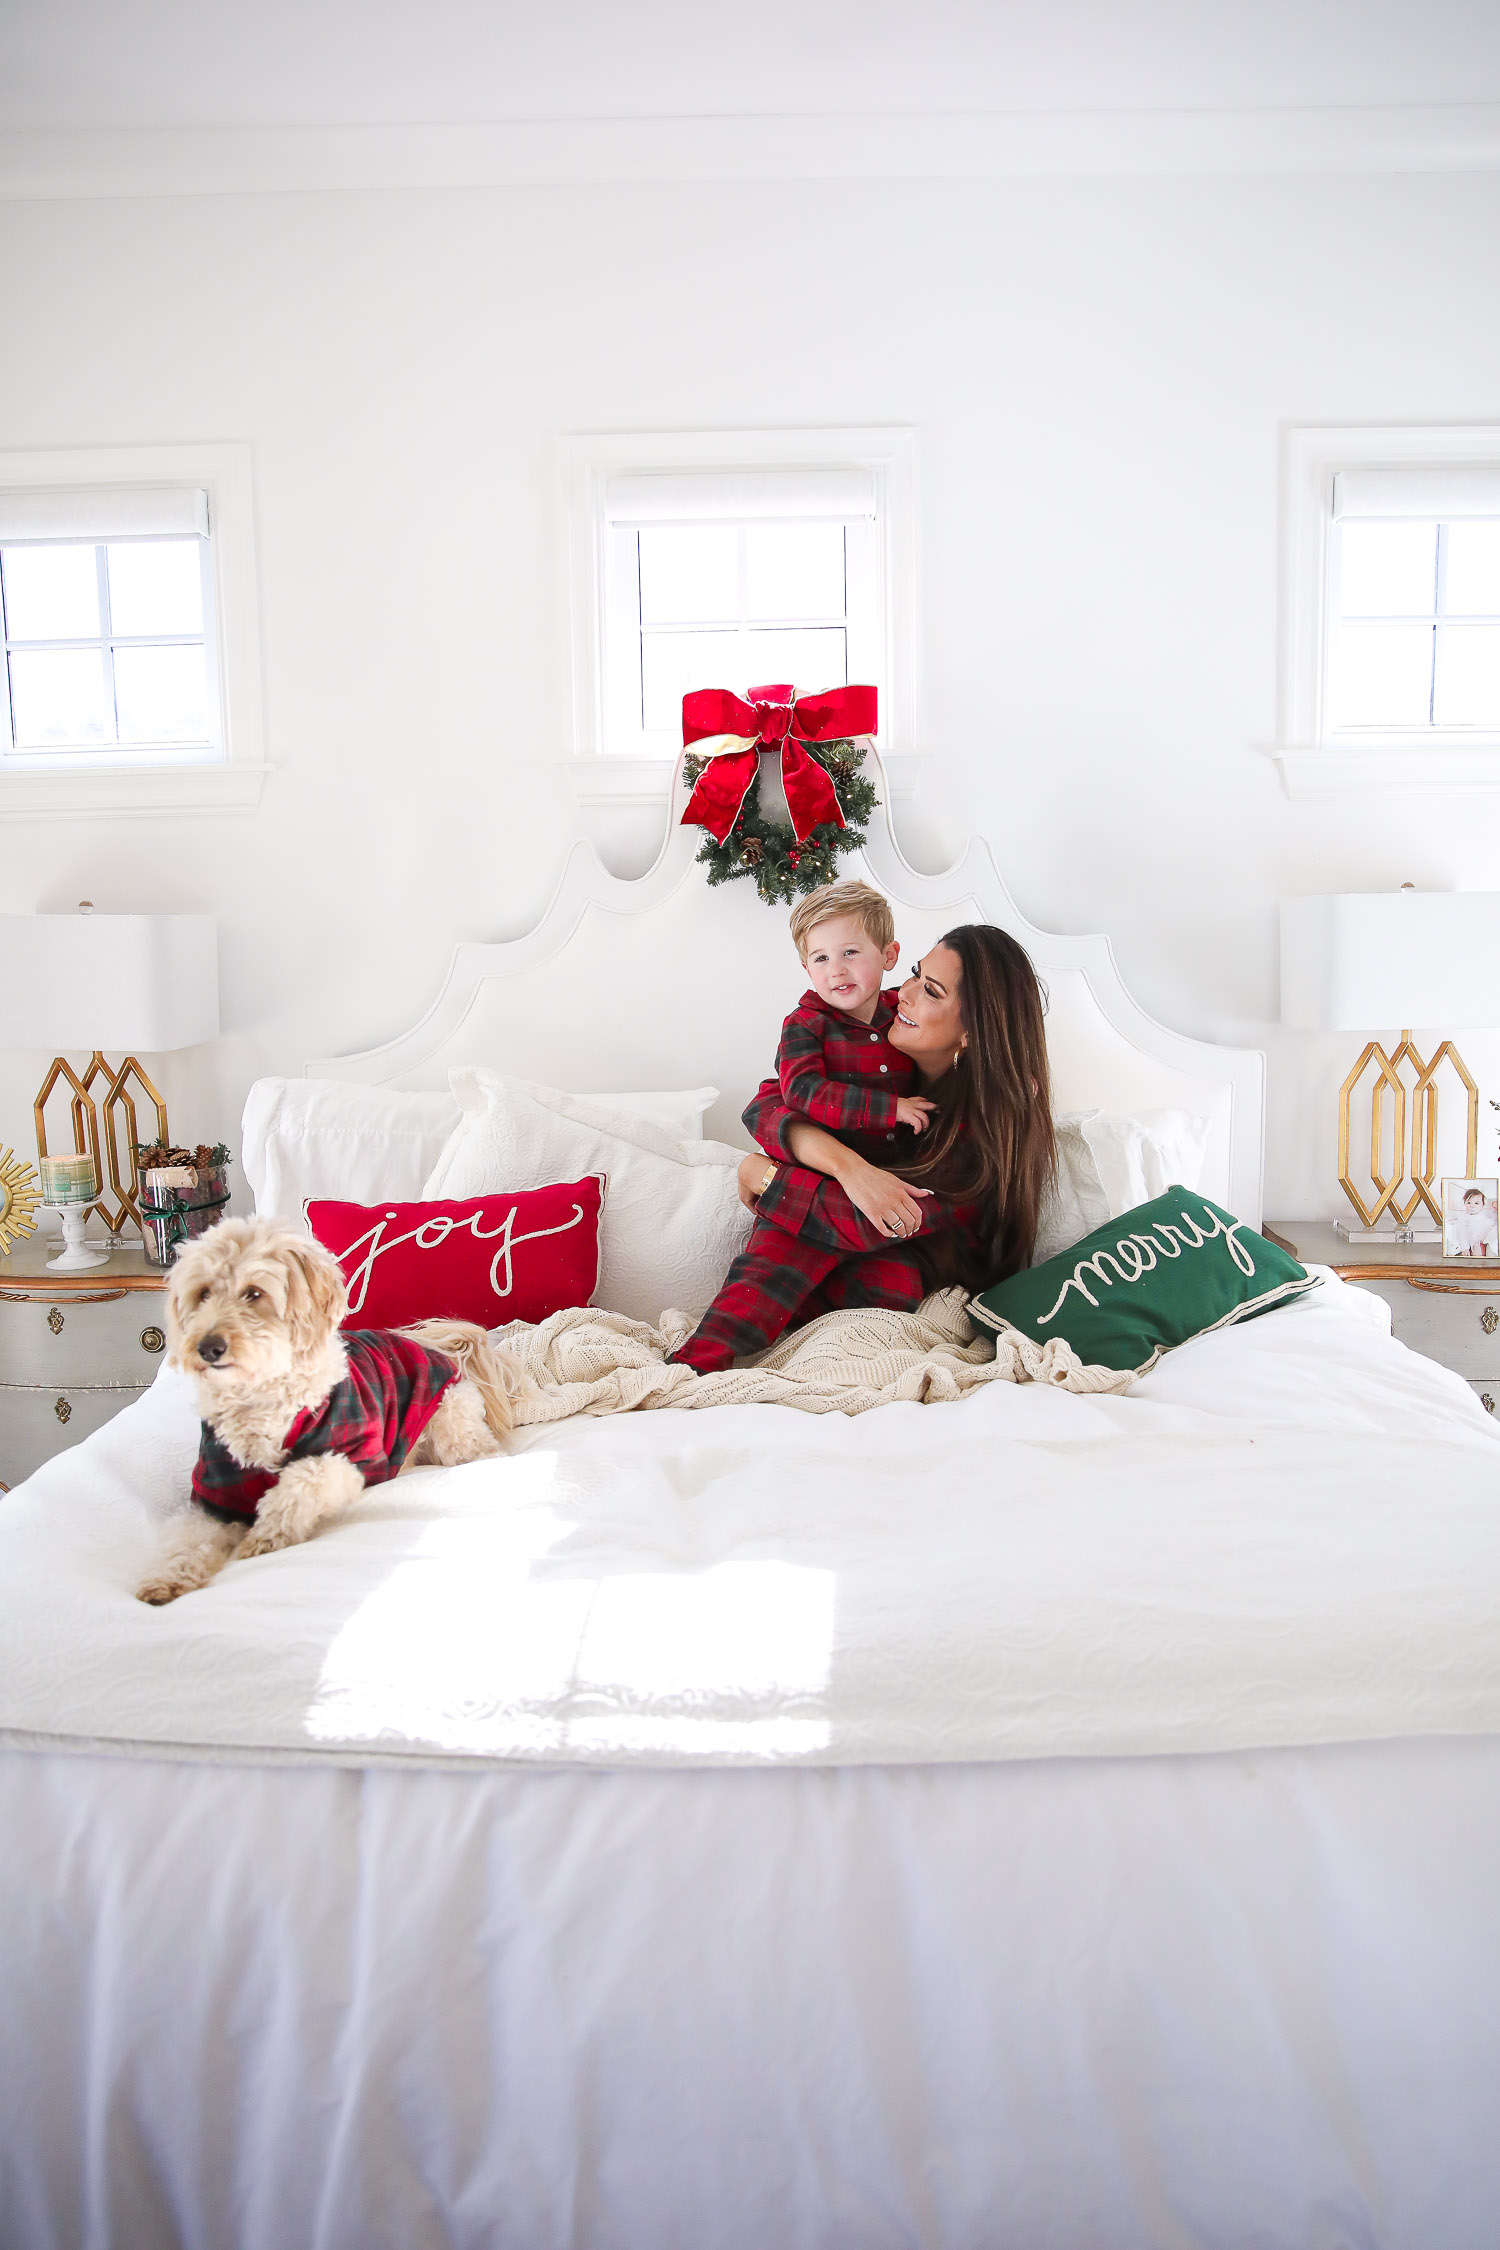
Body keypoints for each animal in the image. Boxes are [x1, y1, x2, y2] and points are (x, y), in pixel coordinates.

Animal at [137, 1215, 521, 1602]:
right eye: (202, 1294)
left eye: (254, 1293)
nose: (207, 1347)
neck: (261, 1398)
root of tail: (441, 1351)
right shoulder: (213, 1493)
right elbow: (186, 1539)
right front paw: (165, 1579)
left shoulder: (351, 1457)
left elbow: (303, 1479)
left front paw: (266, 1536)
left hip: (451, 1425)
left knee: (483, 1451)